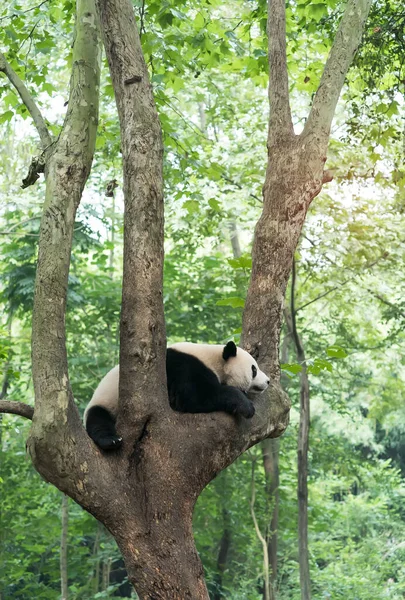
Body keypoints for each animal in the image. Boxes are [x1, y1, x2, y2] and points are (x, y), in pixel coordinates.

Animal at [83, 342, 268, 450]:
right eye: (254, 369)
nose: (268, 381)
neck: (214, 358)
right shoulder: (185, 367)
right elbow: (195, 397)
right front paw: (245, 405)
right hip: (106, 401)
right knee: (98, 420)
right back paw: (111, 440)